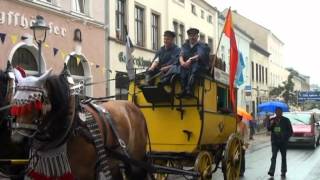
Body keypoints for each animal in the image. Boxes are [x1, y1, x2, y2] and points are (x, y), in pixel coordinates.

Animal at [10, 68, 149, 179]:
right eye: (14, 102)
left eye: (34, 102)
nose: (17, 140)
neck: (71, 125)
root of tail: (134, 107)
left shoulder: (83, 172)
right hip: (114, 162)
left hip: (136, 160)